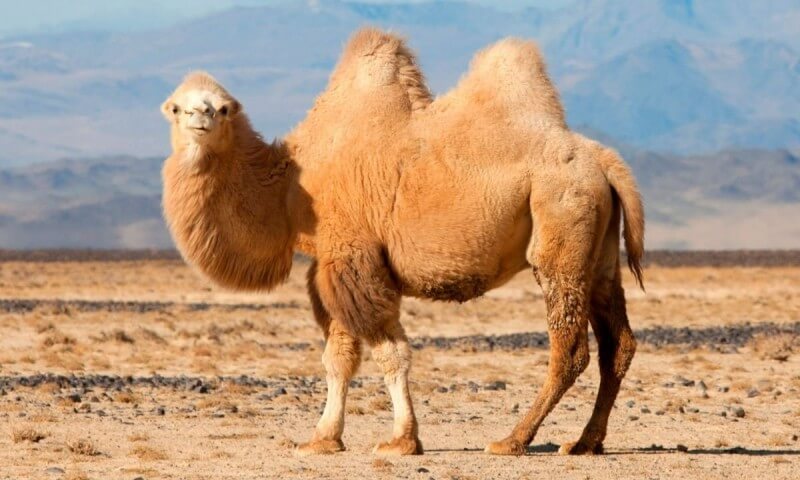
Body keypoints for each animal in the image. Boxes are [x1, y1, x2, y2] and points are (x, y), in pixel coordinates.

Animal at [160, 27, 644, 457]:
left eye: (223, 108)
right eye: (177, 107)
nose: (200, 118)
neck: (291, 188)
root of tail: (605, 161)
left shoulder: (354, 257)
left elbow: (389, 353)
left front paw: (402, 440)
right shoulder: (331, 266)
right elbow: (339, 357)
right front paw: (323, 439)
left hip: (561, 226)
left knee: (571, 349)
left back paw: (513, 440)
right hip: (599, 254)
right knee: (618, 344)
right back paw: (584, 442)